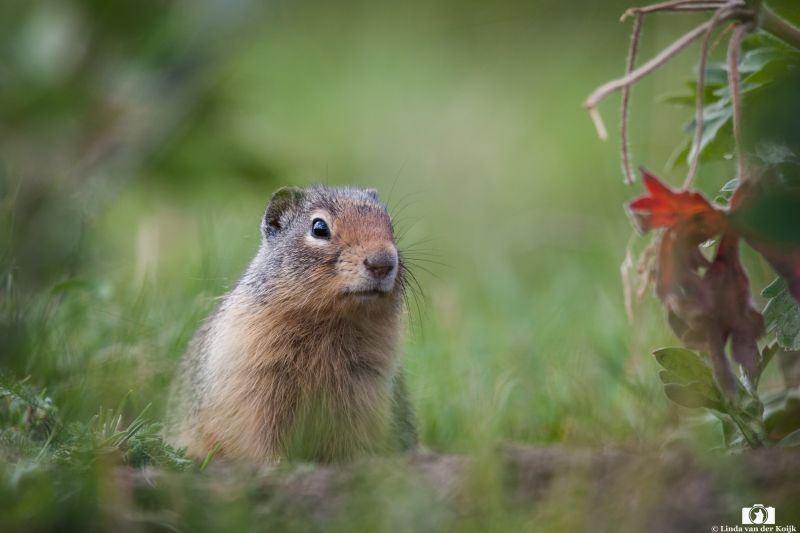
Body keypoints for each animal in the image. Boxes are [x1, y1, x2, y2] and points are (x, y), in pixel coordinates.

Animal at [167, 186, 417, 463]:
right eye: (319, 228)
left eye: (390, 225)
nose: (382, 262)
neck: (330, 322)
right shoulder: (255, 379)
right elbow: (259, 434)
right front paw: (275, 465)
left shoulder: (366, 385)